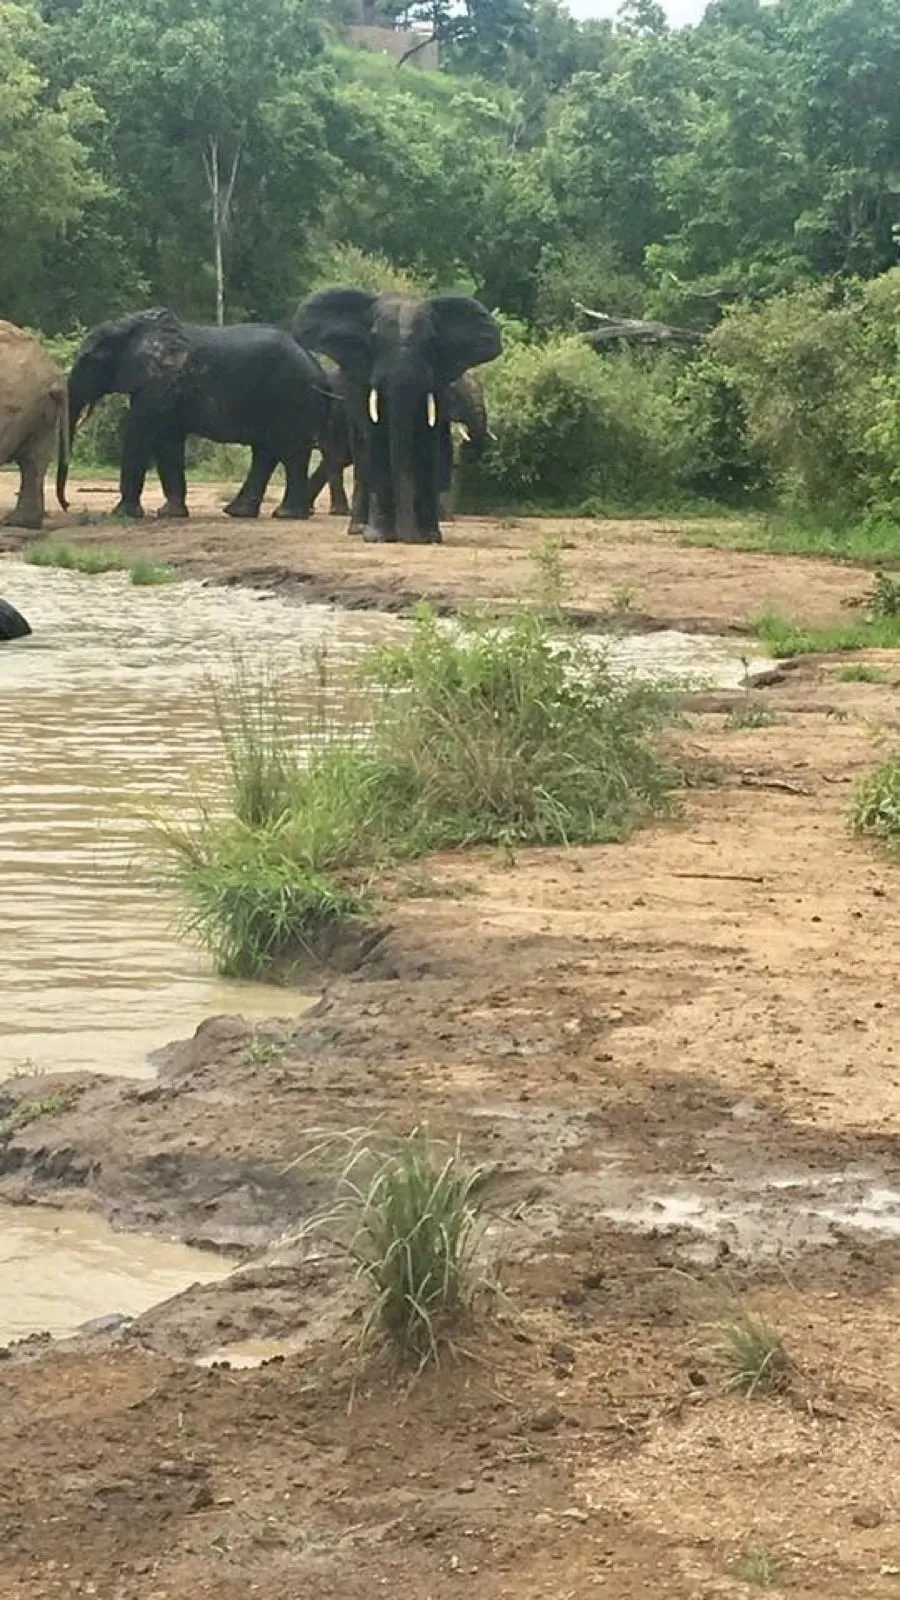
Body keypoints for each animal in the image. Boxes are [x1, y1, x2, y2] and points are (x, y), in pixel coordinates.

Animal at [59, 307, 332, 522]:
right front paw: (170, 514)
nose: (68, 505)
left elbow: (140, 432)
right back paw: (239, 512)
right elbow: (168, 441)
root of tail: (319, 370)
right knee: (265, 452)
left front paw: (123, 515)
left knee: (289, 451)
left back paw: (286, 515)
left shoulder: (162, 383)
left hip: (292, 398)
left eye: (86, 359)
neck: (130, 324)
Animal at [293, 289, 502, 544]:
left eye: (431, 342)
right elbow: (377, 438)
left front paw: (430, 537)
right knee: (353, 455)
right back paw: (357, 527)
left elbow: (428, 444)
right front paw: (379, 537)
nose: (407, 536)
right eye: (373, 339)